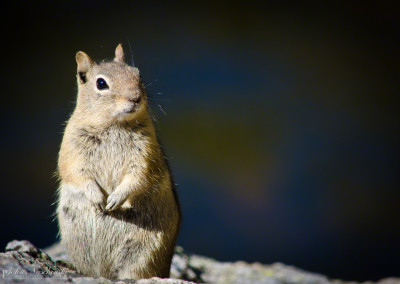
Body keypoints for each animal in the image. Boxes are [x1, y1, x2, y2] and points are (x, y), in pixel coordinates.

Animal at [56, 43, 181, 280]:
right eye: (101, 83)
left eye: (138, 74)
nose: (135, 97)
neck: (114, 124)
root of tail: (103, 272)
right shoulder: (71, 150)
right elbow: (75, 173)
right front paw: (98, 198)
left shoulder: (146, 155)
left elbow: (139, 177)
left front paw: (115, 199)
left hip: (144, 252)